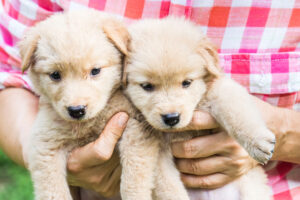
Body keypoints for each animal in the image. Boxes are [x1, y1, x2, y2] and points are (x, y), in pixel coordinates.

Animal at [123, 17, 276, 200]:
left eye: (186, 83)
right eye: (147, 86)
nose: (171, 118)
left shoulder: (219, 90)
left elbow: (238, 113)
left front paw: (258, 142)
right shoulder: (159, 153)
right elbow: (169, 187)